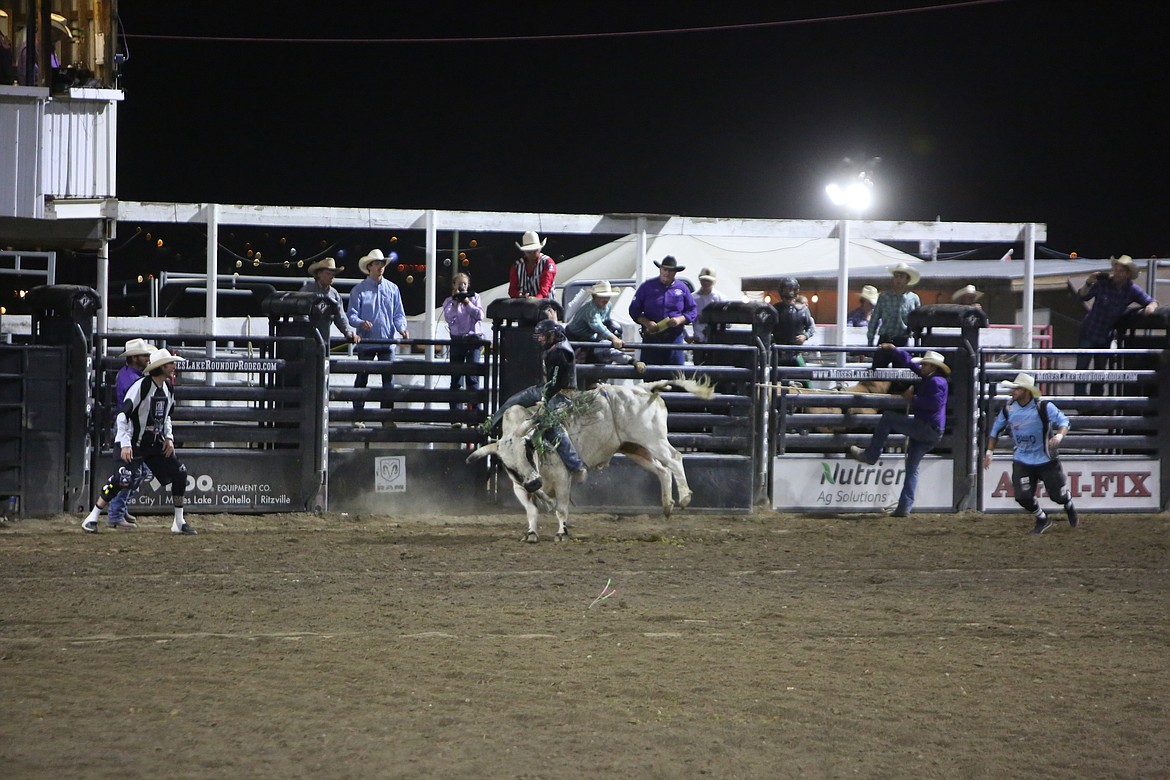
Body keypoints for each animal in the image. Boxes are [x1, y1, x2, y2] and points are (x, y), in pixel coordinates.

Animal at [465, 378, 711, 542]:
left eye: (527, 448)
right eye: (508, 465)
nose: (535, 483)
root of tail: (644, 387)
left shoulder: (562, 478)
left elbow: (561, 509)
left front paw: (562, 533)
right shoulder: (520, 487)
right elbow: (531, 510)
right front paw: (532, 533)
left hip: (653, 439)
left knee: (674, 458)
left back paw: (685, 498)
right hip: (635, 448)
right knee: (662, 470)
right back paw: (667, 506)